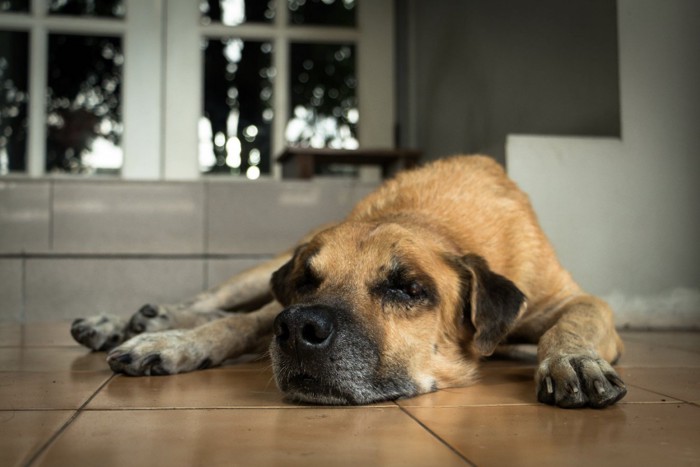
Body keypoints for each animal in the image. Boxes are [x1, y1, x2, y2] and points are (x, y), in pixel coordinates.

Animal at [71, 155, 628, 408]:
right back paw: (138, 320)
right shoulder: (276, 298)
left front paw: (573, 360)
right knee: (216, 301)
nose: (297, 330)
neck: (435, 221)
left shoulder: (571, 299)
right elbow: (237, 325)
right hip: (259, 271)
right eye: (306, 282)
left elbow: (575, 320)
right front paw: (174, 342)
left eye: (407, 288)